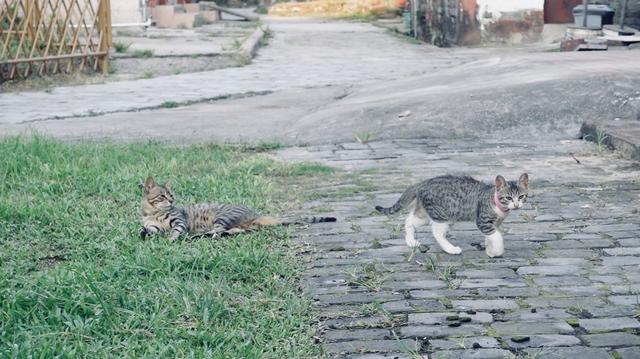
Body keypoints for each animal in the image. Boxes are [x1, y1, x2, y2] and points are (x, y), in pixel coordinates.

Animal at [140, 177, 338, 242]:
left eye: (171, 194)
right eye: (162, 195)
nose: (172, 200)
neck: (153, 213)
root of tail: (256, 214)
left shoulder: (180, 221)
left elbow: (175, 230)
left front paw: (171, 239)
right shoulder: (152, 225)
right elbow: (146, 229)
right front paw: (144, 233)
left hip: (221, 217)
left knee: (218, 232)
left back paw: (197, 236)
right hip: (233, 225)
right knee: (232, 232)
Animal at [378, 173, 528, 258]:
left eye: (521, 196)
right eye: (508, 198)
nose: (516, 205)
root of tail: (423, 183)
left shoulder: (495, 223)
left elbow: (491, 236)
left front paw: (490, 250)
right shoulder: (483, 221)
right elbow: (496, 236)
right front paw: (496, 252)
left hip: (427, 213)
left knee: (409, 220)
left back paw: (411, 241)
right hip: (441, 215)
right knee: (437, 233)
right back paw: (451, 249)